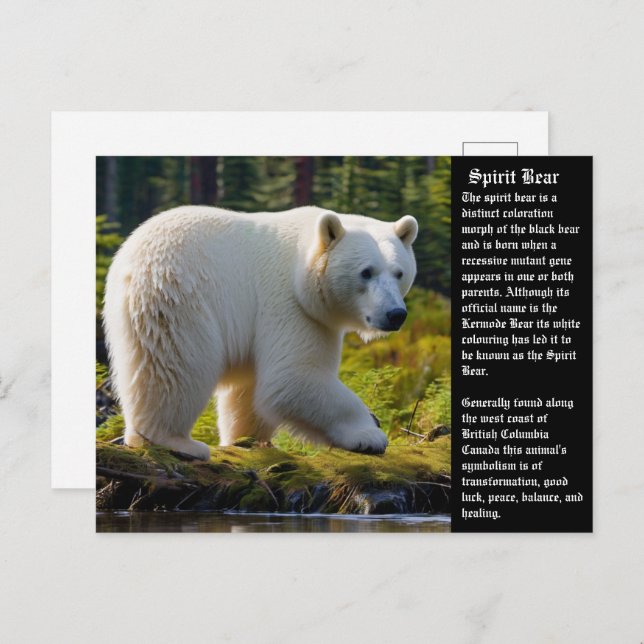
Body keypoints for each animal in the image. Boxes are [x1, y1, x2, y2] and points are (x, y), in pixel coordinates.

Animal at [103, 205, 418, 460]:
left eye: (399, 273)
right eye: (366, 272)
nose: (395, 314)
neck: (302, 261)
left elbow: (251, 388)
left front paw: (249, 439)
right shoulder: (290, 304)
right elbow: (293, 377)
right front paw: (369, 434)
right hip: (180, 296)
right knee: (175, 366)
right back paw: (175, 441)